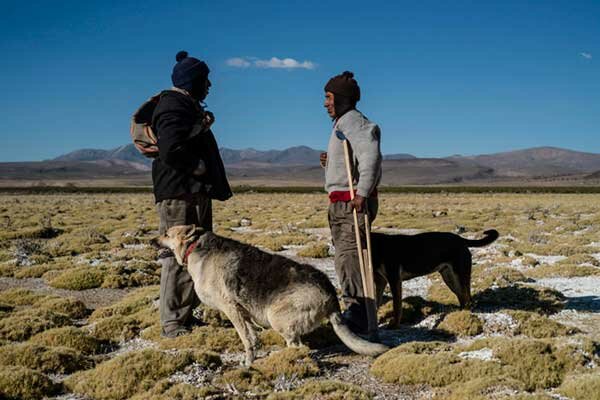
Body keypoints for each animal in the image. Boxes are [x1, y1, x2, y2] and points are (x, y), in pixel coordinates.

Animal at [155, 225, 390, 366]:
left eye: (166, 234)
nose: (151, 242)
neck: (194, 248)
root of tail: (330, 292)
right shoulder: (243, 312)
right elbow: (252, 336)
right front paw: (253, 355)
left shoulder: (231, 308)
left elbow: (245, 338)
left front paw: (249, 362)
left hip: (276, 317)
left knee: (298, 347)